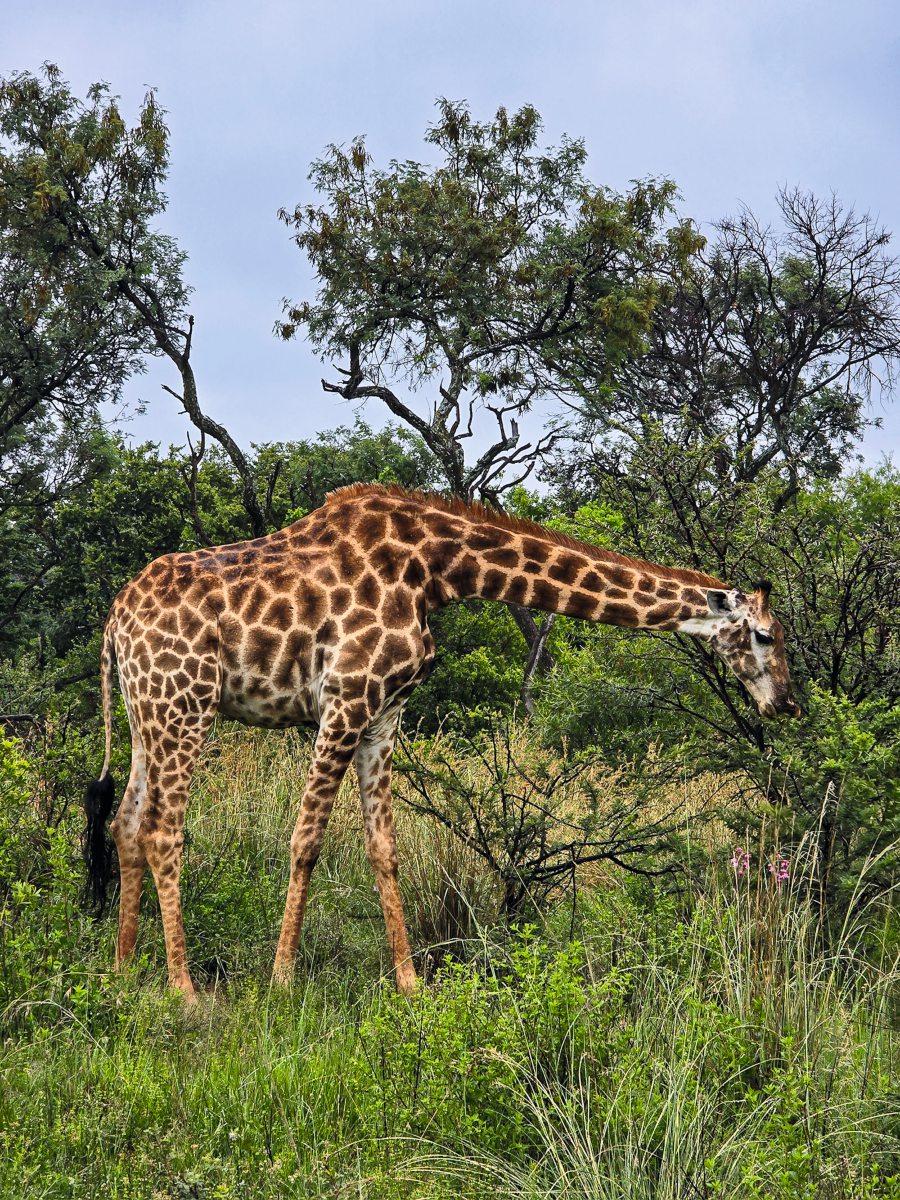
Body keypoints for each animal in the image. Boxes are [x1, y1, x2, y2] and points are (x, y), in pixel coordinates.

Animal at [84, 484, 800, 999]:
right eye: (765, 635)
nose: (787, 704)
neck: (436, 570)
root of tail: (115, 621)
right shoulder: (345, 698)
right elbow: (307, 839)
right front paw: (282, 980)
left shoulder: (383, 713)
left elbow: (383, 847)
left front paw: (409, 985)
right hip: (186, 705)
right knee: (163, 830)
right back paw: (184, 990)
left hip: (149, 712)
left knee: (126, 823)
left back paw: (121, 972)